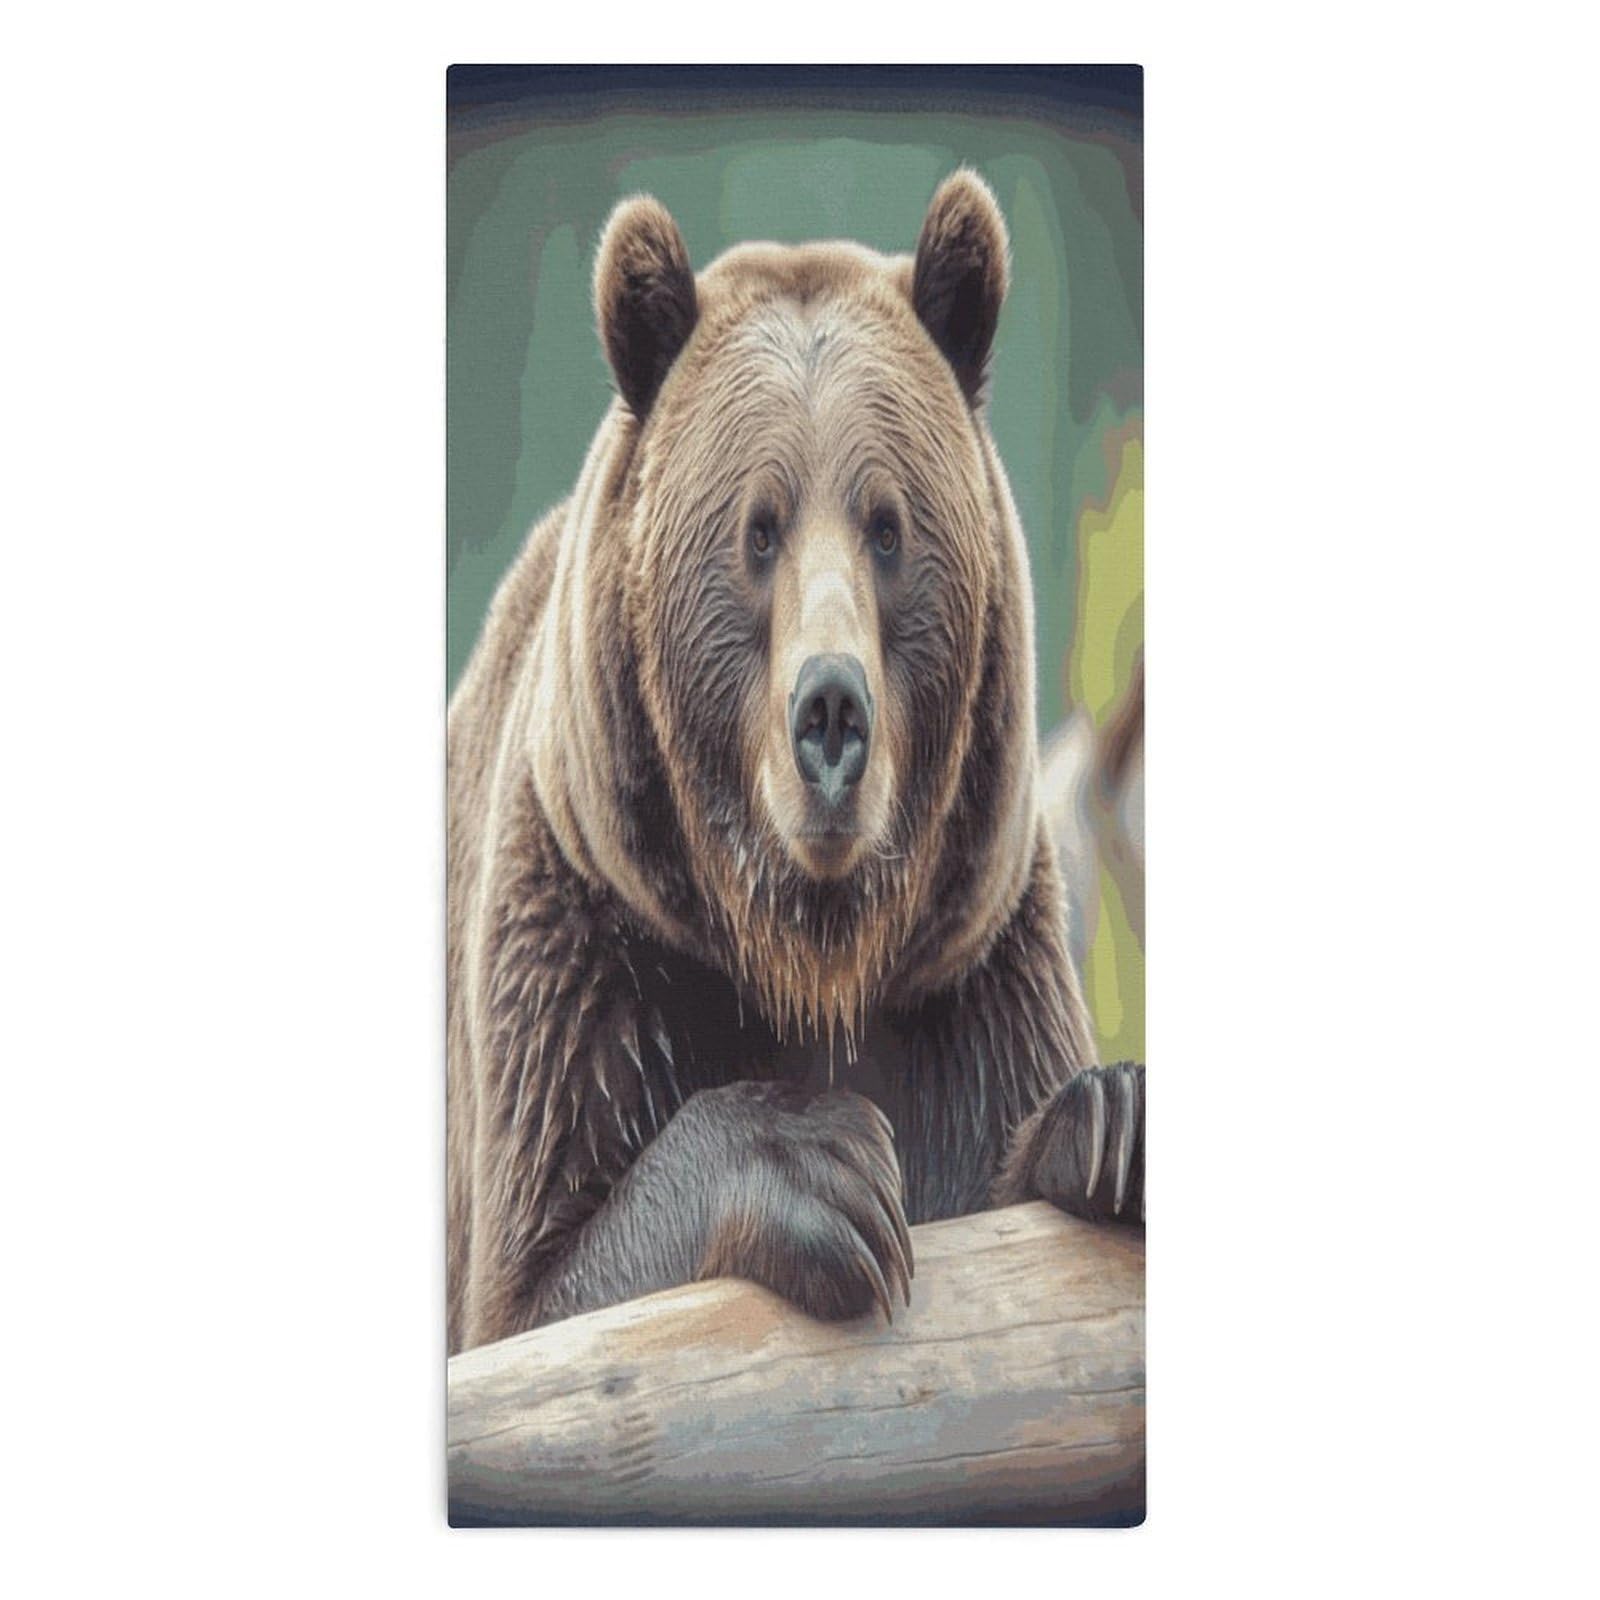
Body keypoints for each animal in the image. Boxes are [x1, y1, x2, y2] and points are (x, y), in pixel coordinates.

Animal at [447, 170, 1144, 1355]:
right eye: (758, 528)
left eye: (888, 527)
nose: (829, 712)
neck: (811, 950)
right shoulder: (588, 941)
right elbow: (541, 1296)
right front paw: (830, 1167)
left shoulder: (974, 976)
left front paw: (1110, 1121)